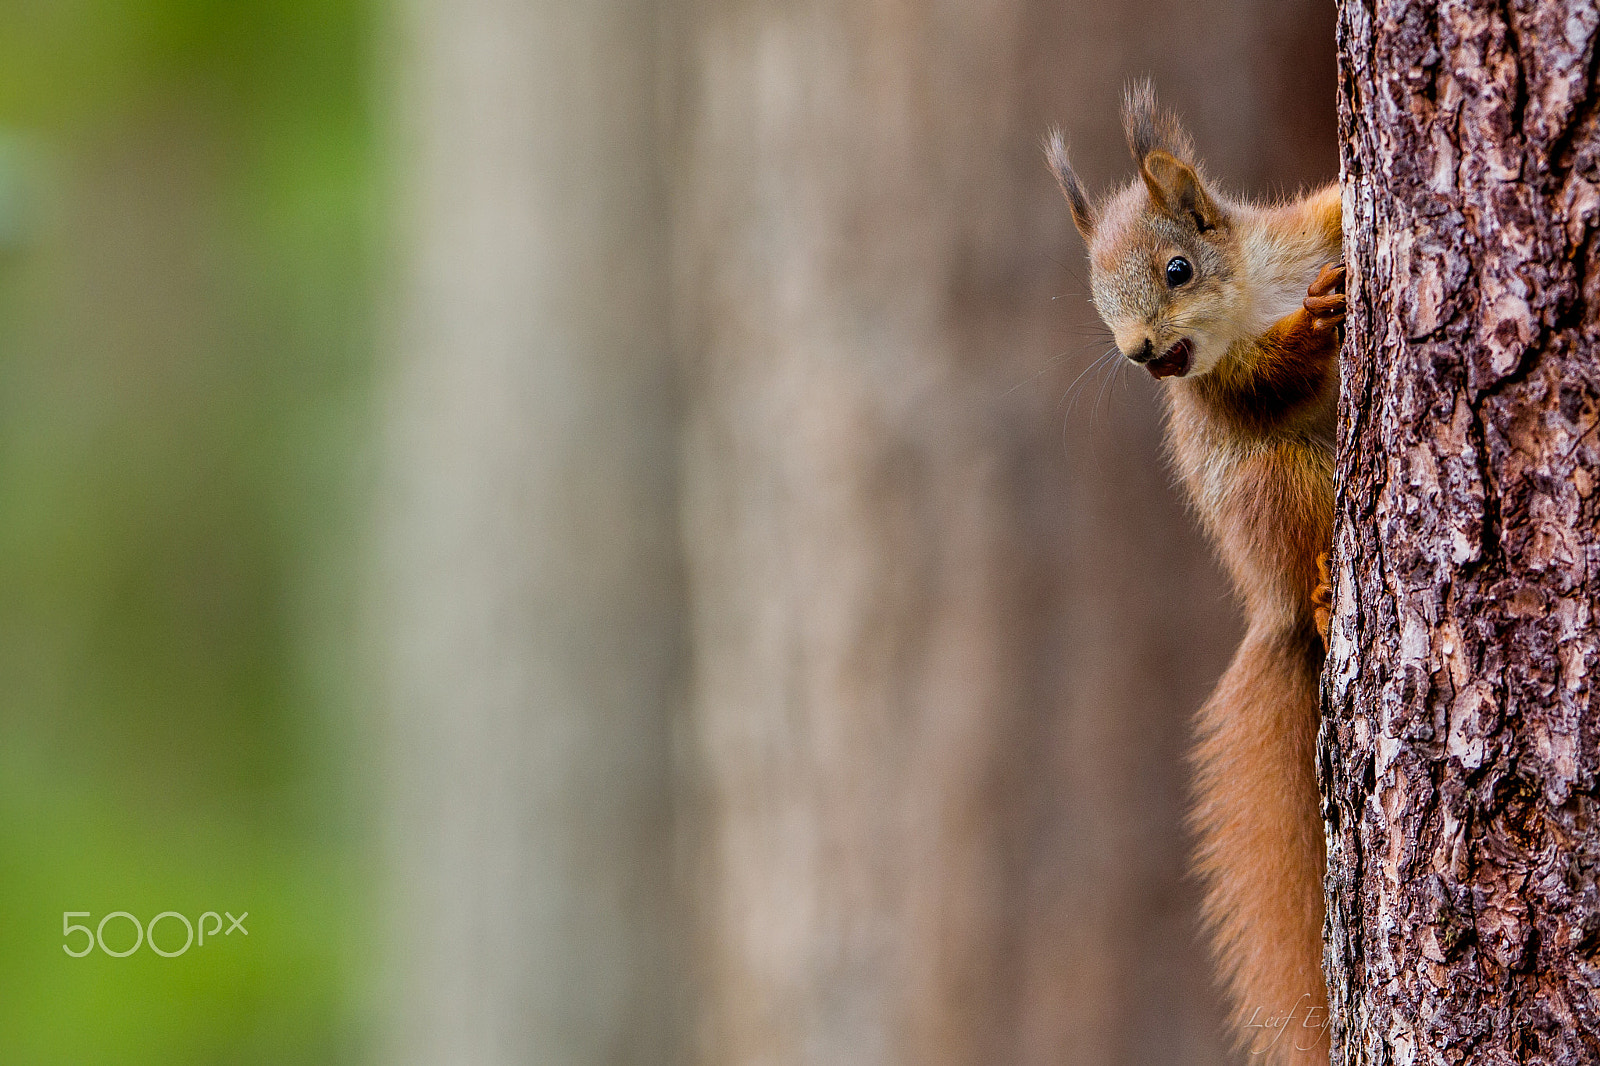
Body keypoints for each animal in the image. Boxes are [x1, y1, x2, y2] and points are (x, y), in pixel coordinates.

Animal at [1043, 83, 1344, 1062]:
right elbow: (1269, 380)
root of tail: (1272, 605)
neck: (1254, 296)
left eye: (1178, 269)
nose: (1139, 352)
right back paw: (1324, 586)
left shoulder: (1295, 233)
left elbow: (1332, 210)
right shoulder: (1225, 390)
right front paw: (1308, 330)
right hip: (1275, 488)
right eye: (1099, 300)